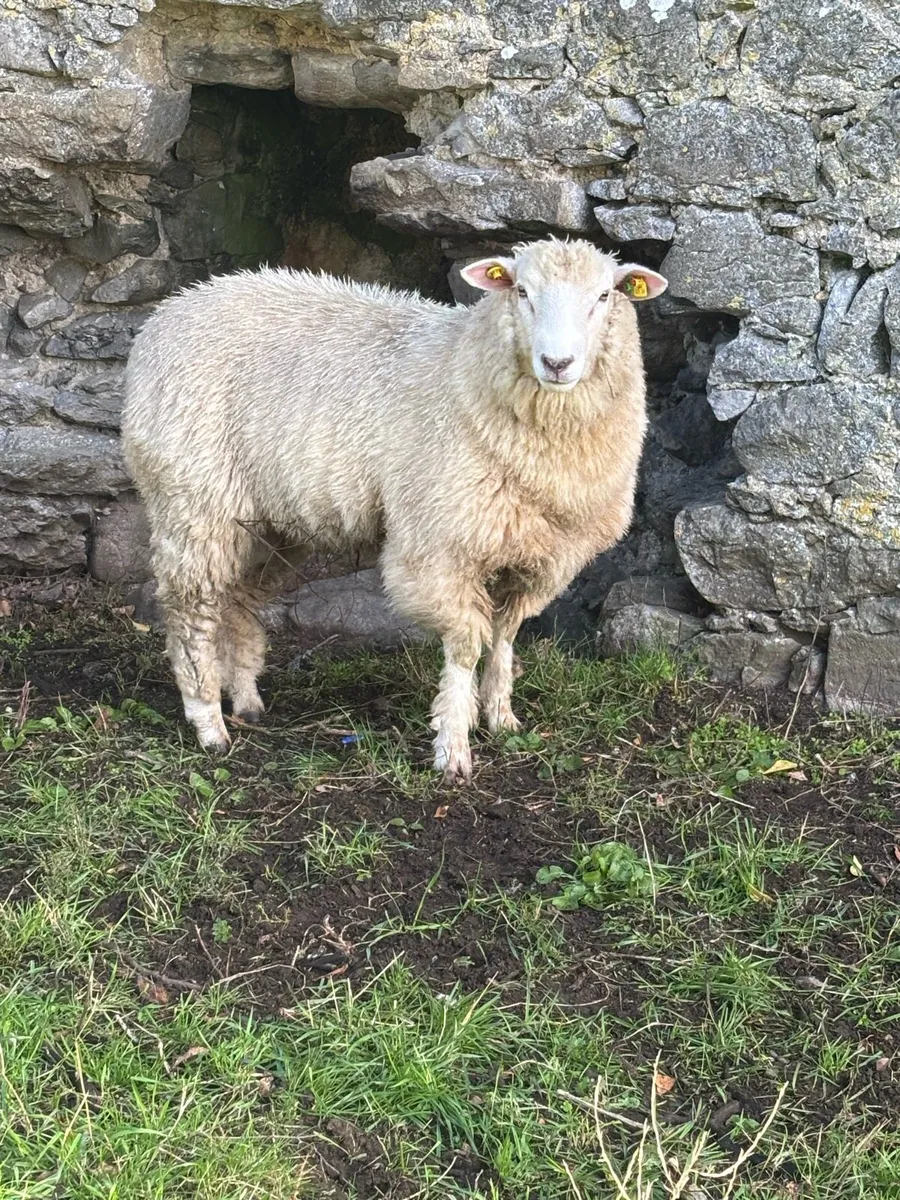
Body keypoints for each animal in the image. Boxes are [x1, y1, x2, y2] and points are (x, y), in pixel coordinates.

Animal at [121, 237, 667, 782]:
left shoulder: (541, 554)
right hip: (194, 499)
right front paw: (453, 747)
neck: (467, 367)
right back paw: (208, 721)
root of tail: (171, 310)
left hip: (270, 524)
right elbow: (466, 645)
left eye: (604, 295)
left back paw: (246, 699)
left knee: (237, 599)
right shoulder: (440, 544)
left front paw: (500, 716)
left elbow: (505, 636)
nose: (557, 363)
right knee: (191, 609)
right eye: (521, 291)